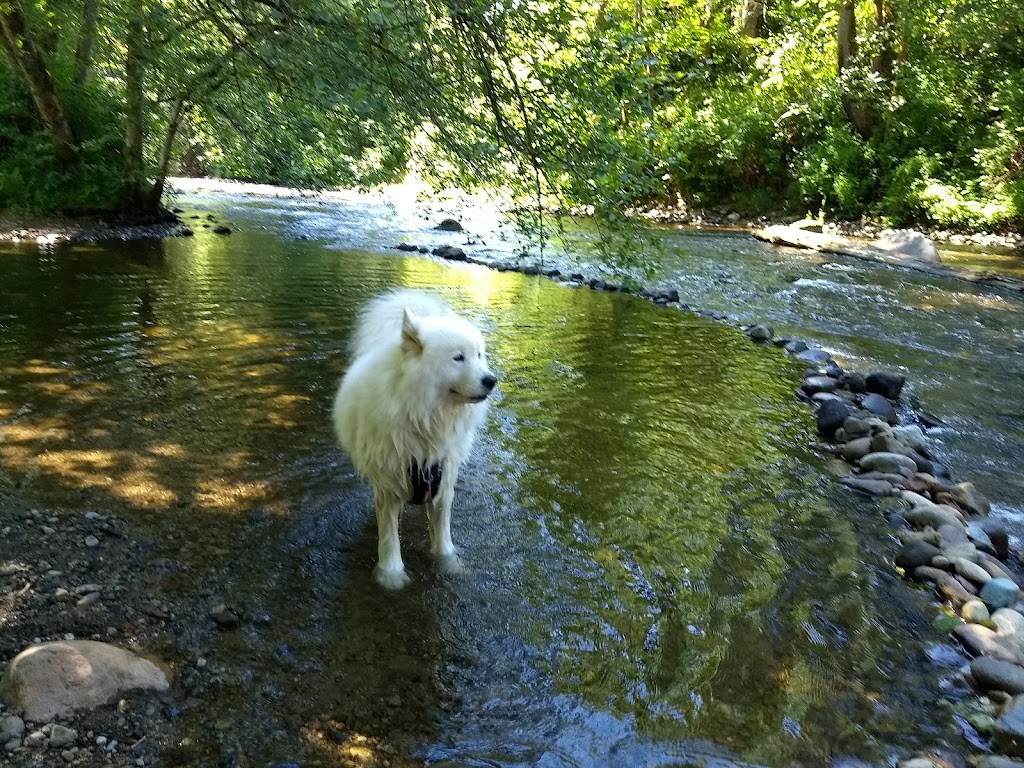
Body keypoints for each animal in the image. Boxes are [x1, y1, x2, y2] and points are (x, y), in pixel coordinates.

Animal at [331, 288, 495, 589]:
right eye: (458, 358)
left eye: (479, 355)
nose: (492, 380)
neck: (424, 416)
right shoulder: (388, 483)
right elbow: (389, 537)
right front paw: (391, 576)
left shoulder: (443, 477)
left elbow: (442, 534)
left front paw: (448, 564)